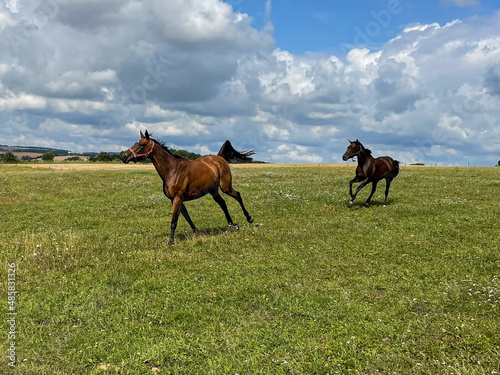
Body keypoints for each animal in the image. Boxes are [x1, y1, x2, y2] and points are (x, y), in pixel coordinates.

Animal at [121, 131, 254, 247]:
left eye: (142, 144)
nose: (124, 156)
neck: (173, 170)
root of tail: (219, 158)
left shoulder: (177, 199)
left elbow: (174, 221)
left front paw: (171, 242)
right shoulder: (175, 200)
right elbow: (187, 216)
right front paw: (197, 232)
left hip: (225, 187)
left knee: (238, 196)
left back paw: (249, 218)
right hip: (213, 191)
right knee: (223, 204)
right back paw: (233, 225)